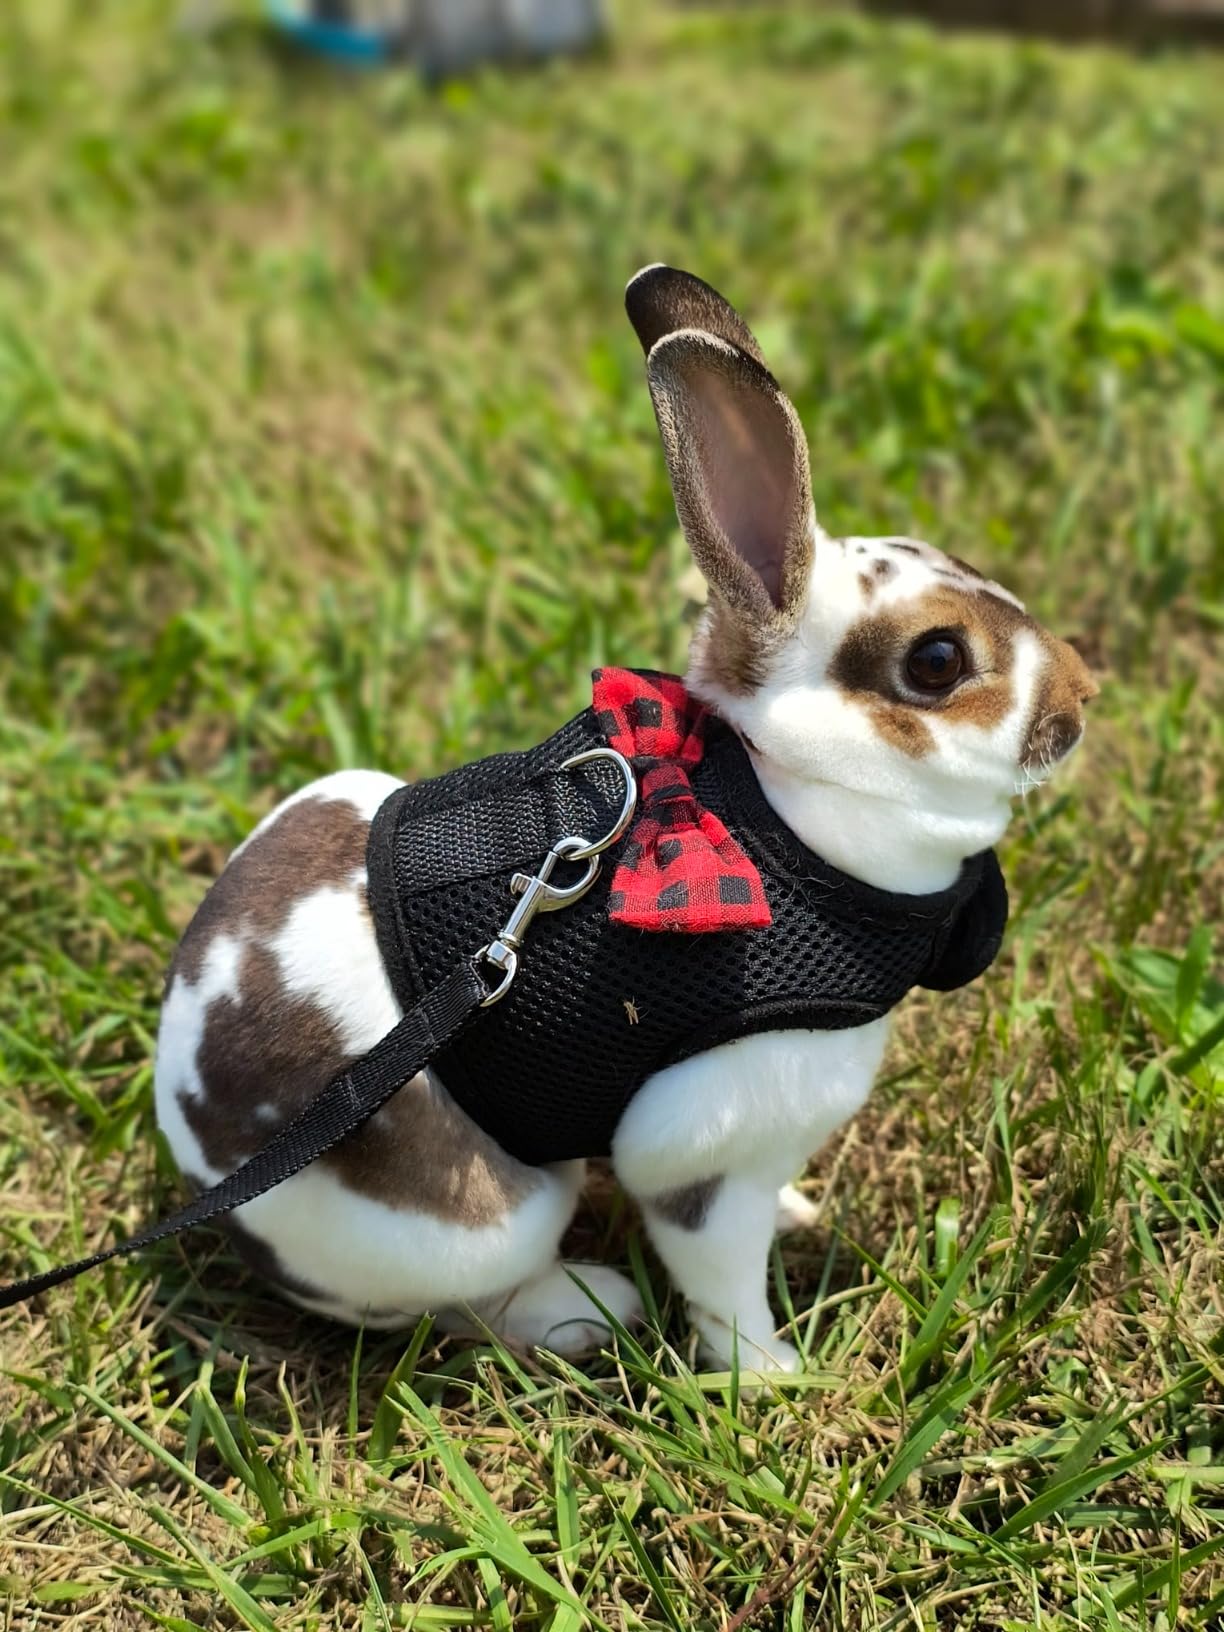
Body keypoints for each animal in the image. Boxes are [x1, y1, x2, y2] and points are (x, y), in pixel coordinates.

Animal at [153, 265, 1095, 1371]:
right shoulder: (706, 1148)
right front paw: (774, 1378)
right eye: (938, 661)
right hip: (486, 1221)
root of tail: (203, 1161)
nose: (1081, 697)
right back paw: (588, 1308)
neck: (780, 809)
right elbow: (721, 1277)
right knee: (470, 1306)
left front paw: (799, 1218)